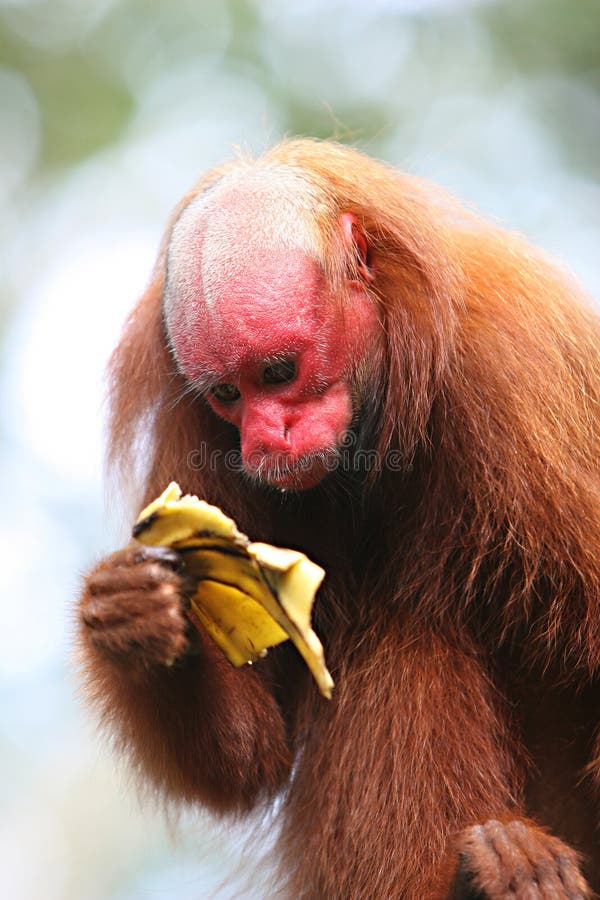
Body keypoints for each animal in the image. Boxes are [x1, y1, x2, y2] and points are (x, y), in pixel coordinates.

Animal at [78, 139, 600, 898]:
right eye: (228, 394)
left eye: (278, 372)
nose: (265, 440)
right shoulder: (194, 438)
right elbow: (248, 758)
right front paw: (138, 619)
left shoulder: (524, 382)